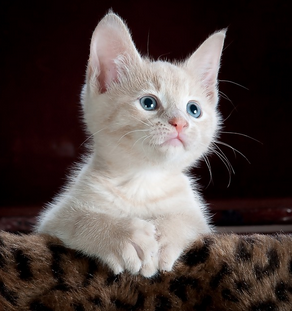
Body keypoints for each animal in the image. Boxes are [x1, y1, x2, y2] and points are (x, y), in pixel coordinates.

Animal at [34, 12, 226, 278]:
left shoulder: (200, 220)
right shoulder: (52, 220)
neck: (143, 180)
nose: (180, 123)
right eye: (148, 103)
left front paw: (165, 234)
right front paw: (121, 235)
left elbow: (187, 220)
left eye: (193, 109)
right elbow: (79, 219)